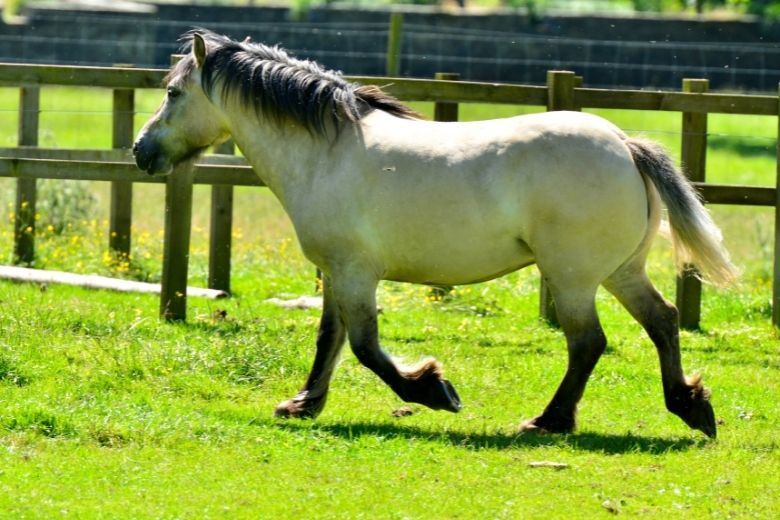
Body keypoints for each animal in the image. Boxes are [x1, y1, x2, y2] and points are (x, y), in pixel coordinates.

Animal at [134, 29, 736, 438]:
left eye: (173, 93)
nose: (142, 152)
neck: (326, 151)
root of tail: (626, 145)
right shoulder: (335, 272)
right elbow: (330, 339)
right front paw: (303, 404)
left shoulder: (355, 272)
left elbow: (365, 346)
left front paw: (433, 389)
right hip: (618, 271)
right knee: (663, 320)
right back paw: (691, 407)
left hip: (571, 278)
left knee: (588, 342)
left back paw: (550, 421)